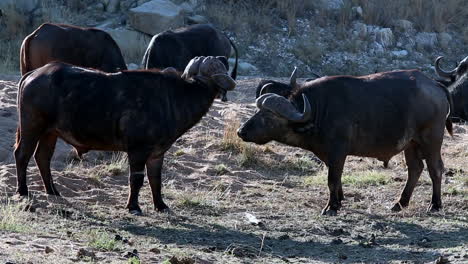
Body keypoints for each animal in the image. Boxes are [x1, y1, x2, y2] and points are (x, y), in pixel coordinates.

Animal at [15, 55, 236, 214]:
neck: (173, 97)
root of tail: (33, 74)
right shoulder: (138, 150)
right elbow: (136, 179)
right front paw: (134, 207)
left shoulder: (157, 153)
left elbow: (156, 179)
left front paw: (161, 205)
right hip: (32, 126)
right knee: (22, 154)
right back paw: (23, 191)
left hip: (50, 133)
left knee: (42, 157)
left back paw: (52, 191)